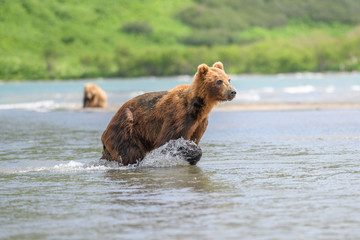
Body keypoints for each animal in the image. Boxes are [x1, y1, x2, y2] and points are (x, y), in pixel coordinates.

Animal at [100, 61, 236, 165]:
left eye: (229, 79)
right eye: (219, 81)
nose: (232, 92)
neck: (197, 107)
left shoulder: (200, 123)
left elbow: (193, 138)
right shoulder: (178, 116)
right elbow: (168, 139)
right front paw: (191, 152)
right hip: (126, 128)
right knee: (131, 151)